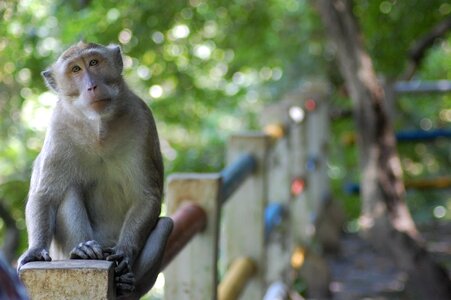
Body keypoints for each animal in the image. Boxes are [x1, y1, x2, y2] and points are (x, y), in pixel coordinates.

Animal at [18, 41, 173, 298]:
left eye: (93, 63)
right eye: (75, 70)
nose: (92, 86)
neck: (99, 127)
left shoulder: (142, 119)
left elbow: (146, 196)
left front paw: (124, 253)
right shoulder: (59, 126)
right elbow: (45, 195)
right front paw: (35, 250)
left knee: (165, 225)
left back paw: (126, 283)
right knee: (67, 191)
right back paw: (83, 251)